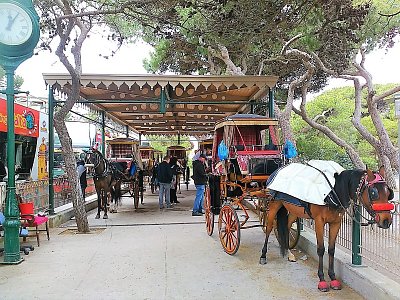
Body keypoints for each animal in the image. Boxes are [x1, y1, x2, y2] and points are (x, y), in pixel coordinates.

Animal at [260, 166, 394, 290]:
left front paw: (333, 278)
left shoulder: (336, 223)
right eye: (373, 193)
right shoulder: (319, 222)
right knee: (269, 227)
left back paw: (289, 253)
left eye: (389, 193)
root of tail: (278, 170)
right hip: (274, 204)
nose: (386, 221)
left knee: (287, 226)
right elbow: (321, 249)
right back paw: (263, 255)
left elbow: (331, 249)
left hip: (293, 210)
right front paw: (322, 279)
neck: (333, 192)